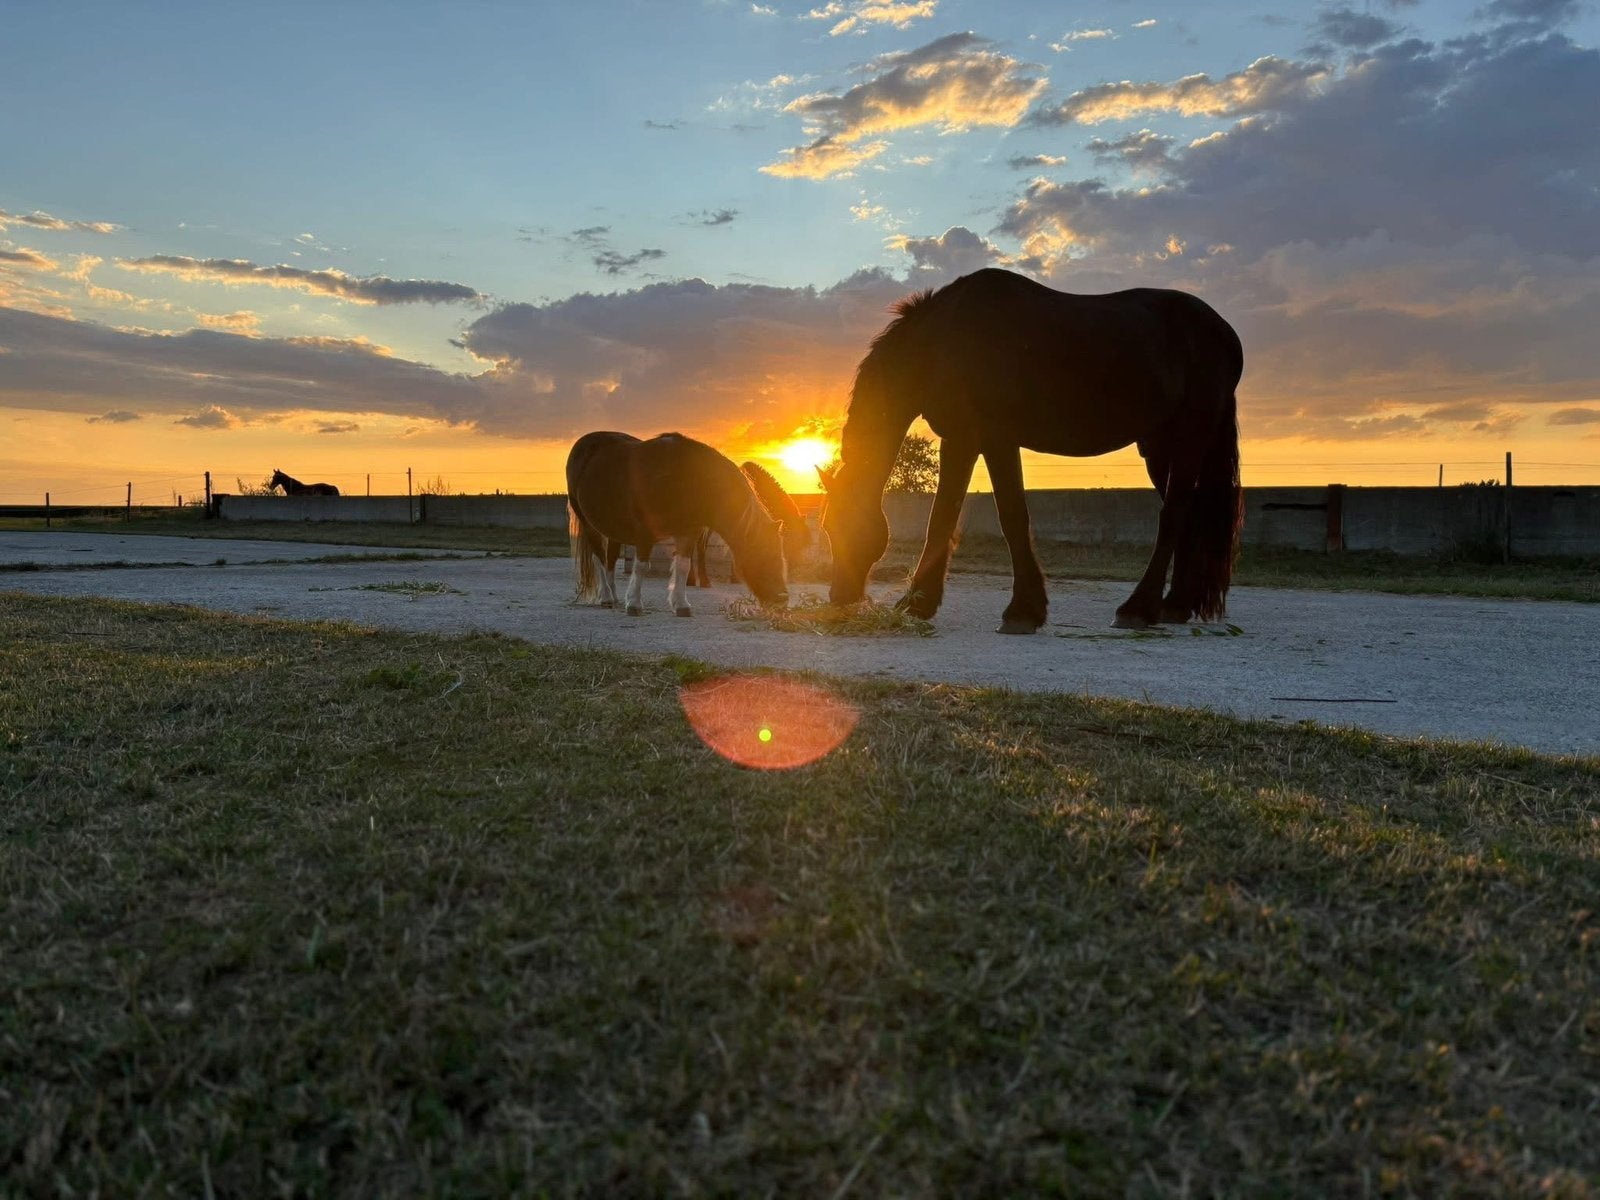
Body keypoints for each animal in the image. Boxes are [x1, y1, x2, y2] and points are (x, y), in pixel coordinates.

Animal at [565, 432, 808, 616]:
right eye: (763, 557)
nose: (781, 601)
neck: (684, 478)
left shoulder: (688, 532)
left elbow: (683, 565)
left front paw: (681, 605)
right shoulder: (644, 533)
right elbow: (642, 566)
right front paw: (634, 604)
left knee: (610, 559)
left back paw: (614, 596)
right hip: (588, 523)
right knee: (598, 557)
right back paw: (606, 597)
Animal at [821, 268, 1243, 632]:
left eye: (845, 524)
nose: (840, 598)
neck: (943, 340)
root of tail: (1224, 333)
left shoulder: (996, 439)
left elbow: (1010, 515)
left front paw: (1022, 611)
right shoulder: (961, 438)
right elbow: (942, 516)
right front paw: (919, 603)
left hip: (1188, 441)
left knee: (1173, 515)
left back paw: (1138, 609)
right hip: (1158, 448)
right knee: (1189, 513)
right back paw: (1175, 606)